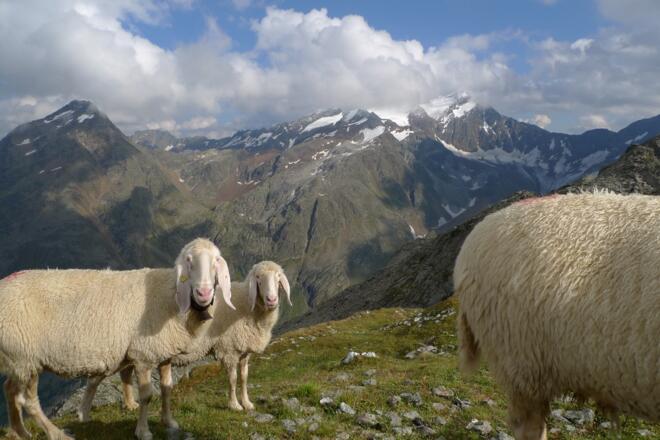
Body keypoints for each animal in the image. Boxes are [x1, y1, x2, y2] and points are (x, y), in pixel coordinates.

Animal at [0, 238, 233, 440]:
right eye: (188, 260)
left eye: (216, 260)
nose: (204, 293)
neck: (170, 296)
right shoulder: (143, 354)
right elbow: (147, 395)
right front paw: (143, 431)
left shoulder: (164, 353)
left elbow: (167, 388)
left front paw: (169, 421)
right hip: (25, 357)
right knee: (29, 402)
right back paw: (57, 434)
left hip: (17, 359)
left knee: (10, 389)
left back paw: (20, 432)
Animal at [79, 260, 291, 420]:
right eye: (258, 279)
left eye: (278, 278)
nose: (272, 300)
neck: (247, 307)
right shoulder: (228, 349)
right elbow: (232, 379)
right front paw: (234, 405)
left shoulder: (244, 350)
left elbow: (245, 377)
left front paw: (247, 403)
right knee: (105, 375)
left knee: (125, 373)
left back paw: (130, 404)